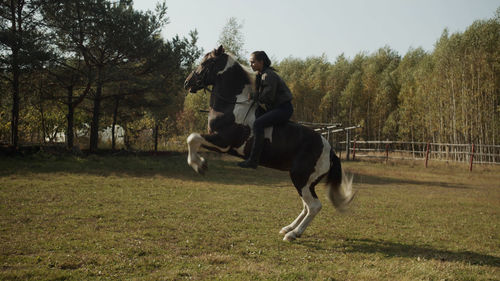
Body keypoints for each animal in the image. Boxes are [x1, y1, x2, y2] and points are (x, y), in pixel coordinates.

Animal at [182, 45, 354, 241]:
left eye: (206, 62)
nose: (187, 83)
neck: (233, 106)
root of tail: (330, 150)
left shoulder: (223, 142)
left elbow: (192, 138)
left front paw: (199, 166)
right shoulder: (219, 142)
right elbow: (193, 140)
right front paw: (201, 163)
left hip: (300, 178)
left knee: (314, 206)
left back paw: (293, 234)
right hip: (307, 182)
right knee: (306, 205)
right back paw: (288, 228)